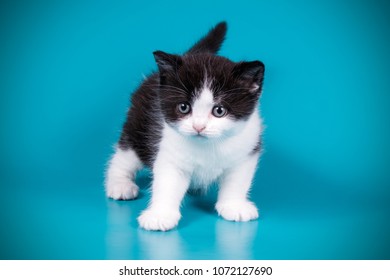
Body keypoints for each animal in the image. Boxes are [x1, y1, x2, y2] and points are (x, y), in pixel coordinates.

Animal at [106, 21, 266, 231]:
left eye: (219, 110)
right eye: (184, 107)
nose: (199, 126)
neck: (208, 145)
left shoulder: (247, 149)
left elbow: (237, 181)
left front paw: (234, 206)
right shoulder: (168, 151)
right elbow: (167, 183)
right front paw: (160, 215)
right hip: (138, 125)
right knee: (125, 154)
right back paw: (119, 184)